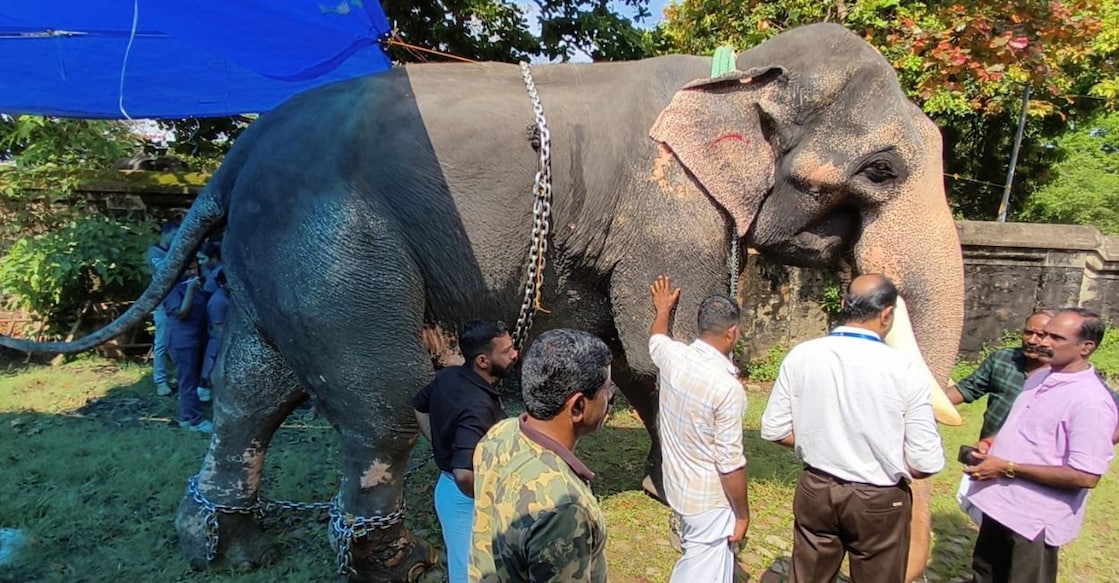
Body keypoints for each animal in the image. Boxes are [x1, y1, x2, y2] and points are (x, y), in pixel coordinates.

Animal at [0, 22, 964, 582]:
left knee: (251, 391)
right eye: (881, 169)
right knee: (380, 404)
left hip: (271, 257)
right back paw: (394, 565)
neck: (733, 69)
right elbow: (660, 336)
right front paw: (697, 506)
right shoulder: (666, 201)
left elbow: (632, 352)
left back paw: (229, 550)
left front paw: (664, 486)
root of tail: (233, 158)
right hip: (331, 243)